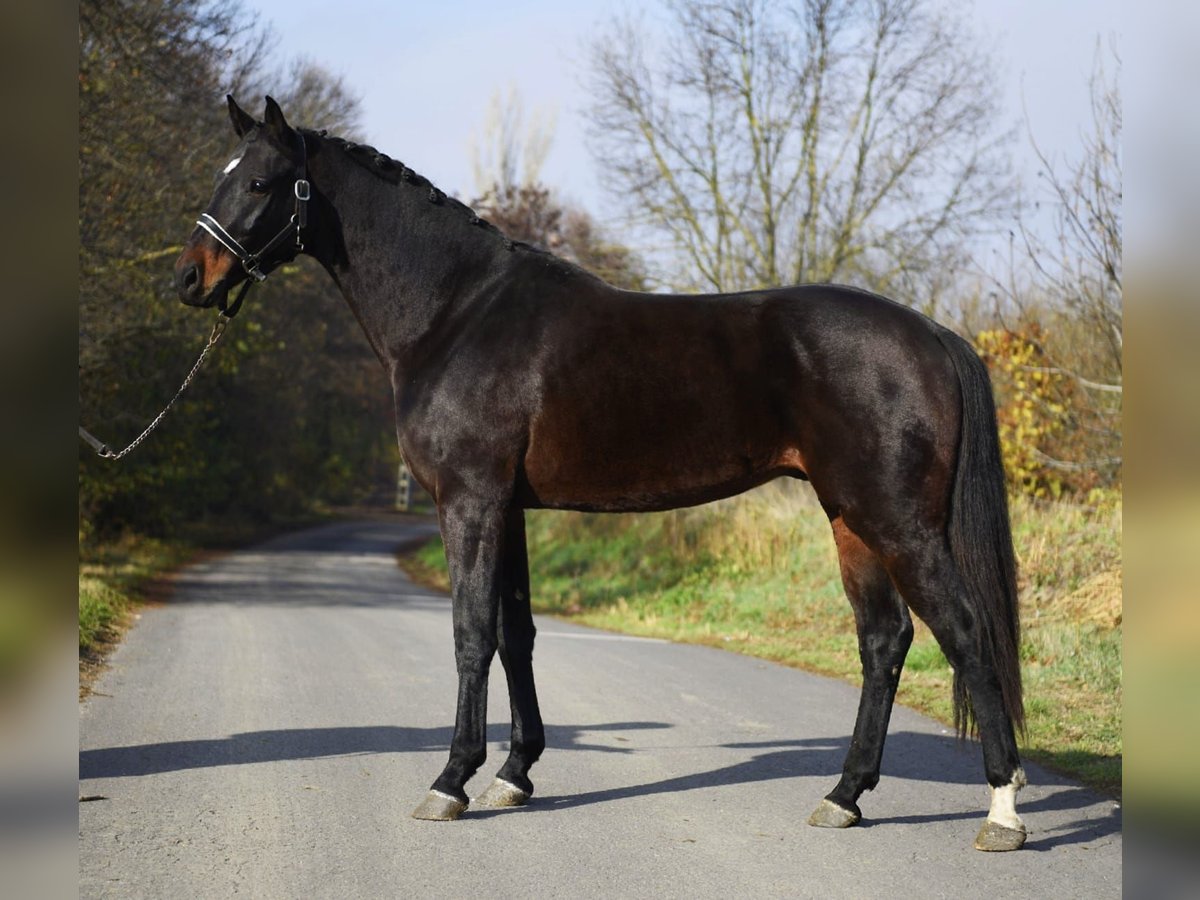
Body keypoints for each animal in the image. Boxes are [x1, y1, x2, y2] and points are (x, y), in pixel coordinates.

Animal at [175, 96, 1029, 852]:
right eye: (224, 173)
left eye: (260, 182)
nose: (189, 279)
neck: (457, 312)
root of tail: (931, 331)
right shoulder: (509, 507)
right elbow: (516, 633)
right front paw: (514, 774)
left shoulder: (469, 501)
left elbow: (470, 634)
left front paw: (451, 781)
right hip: (850, 518)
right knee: (884, 640)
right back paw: (844, 797)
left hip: (897, 521)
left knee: (965, 633)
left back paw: (1001, 811)